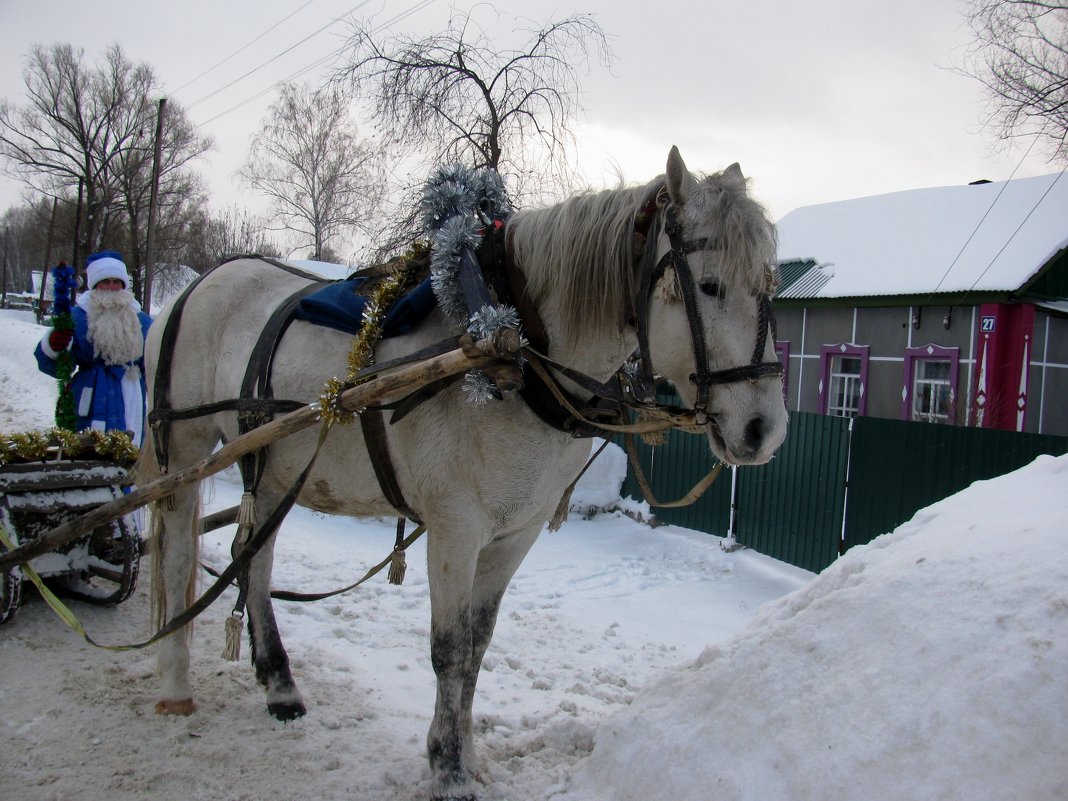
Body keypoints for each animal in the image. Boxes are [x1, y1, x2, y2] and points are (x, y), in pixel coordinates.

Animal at [142, 147, 790, 798]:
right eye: (708, 286)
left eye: (768, 285)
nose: (765, 430)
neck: (510, 347)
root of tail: (195, 287)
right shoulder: (456, 530)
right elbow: (449, 651)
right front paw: (448, 770)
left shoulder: (514, 534)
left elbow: (478, 645)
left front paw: (467, 754)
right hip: (188, 451)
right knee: (178, 552)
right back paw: (173, 682)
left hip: (276, 473)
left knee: (253, 558)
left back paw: (278, 684)